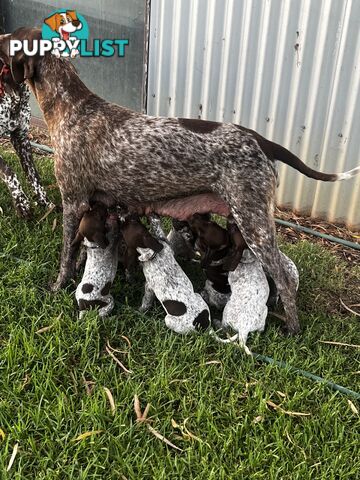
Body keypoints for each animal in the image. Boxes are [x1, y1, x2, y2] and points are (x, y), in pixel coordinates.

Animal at [1, 26, 358, 334]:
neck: (72, 107)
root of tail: (262, 140)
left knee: (282, 277)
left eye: (9, 39)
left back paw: (292, 329)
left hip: (253, 220)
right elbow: (77, 250)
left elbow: (67, 253)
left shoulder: (73, 201)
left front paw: (58, 286)